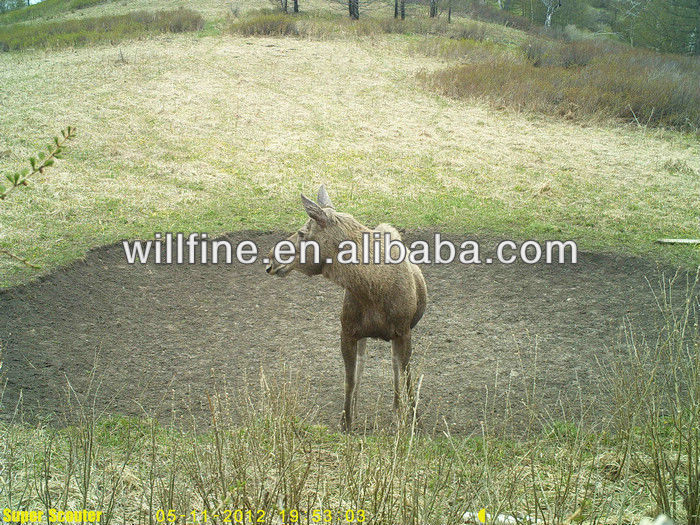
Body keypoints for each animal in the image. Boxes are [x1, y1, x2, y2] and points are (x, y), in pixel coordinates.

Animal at [266, 184, 426, 430]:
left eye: (302, 233)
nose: (270, 261)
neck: (374, 292)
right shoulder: (348, 331)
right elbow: (350, 379)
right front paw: (346, 423)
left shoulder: (404, 330)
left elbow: (405, 373)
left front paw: (413, 419)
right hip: (365, 335)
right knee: (363, 366)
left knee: (394, 367)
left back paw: (397, 409)